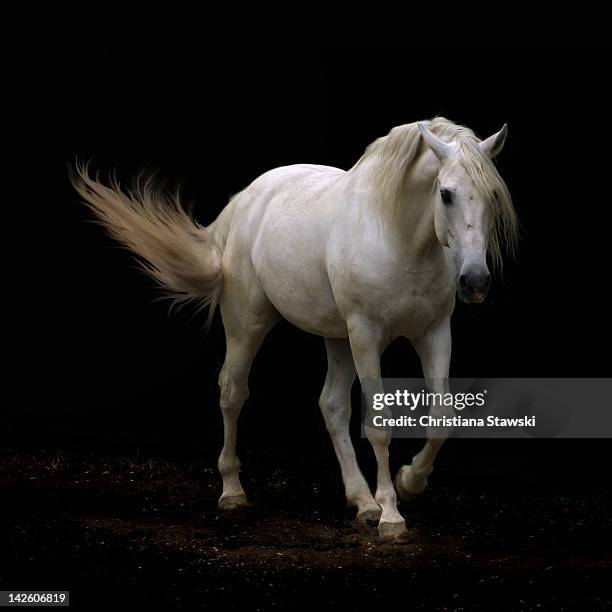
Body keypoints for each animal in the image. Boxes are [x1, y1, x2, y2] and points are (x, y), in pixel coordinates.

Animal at [74, 117, 520, 536]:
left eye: (493, 196)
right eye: (446, 194)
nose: (475, 281)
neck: (397, 235)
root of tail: (244, 202)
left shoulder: (434, 333)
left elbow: (442, 418)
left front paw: (409, 483)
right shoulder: (366, 335)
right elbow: (378, 423)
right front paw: (392, 515)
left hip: (336, 338)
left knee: (332, 406)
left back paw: (362, 501)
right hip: (249, 325)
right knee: (232, 392)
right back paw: (233, 491)